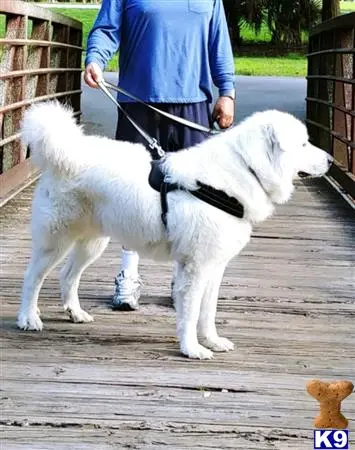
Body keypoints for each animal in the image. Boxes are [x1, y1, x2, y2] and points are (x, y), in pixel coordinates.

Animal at [16, 101, 334, 358]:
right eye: (303, 144)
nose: (331, 160)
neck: (246, 169)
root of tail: (68, 152)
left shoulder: (214, 267)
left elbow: (208, 311)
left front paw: (213, 341)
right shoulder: (196, 267)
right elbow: (191, 313)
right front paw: (192, 349)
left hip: (92, 243)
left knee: (68, 275)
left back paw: (76, 313)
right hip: (55, 241)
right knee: (32, 278)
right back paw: (28, 319)